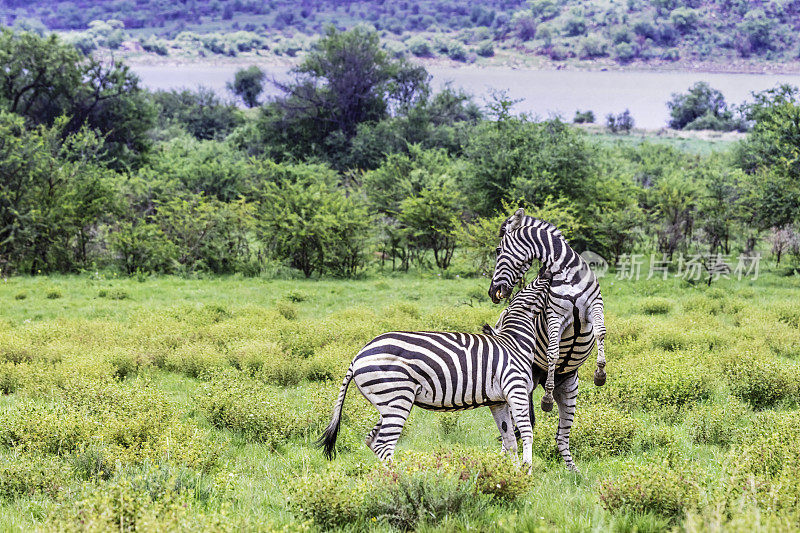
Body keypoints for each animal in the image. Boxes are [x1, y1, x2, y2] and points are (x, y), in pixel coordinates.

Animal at [316, 270, 552, 470]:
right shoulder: (515, 389)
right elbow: (526, 432)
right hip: (396, 397)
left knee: (372, 440)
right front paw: (527, 471)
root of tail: (357, 356)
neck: (515, 343)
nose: (545, 271)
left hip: (387, 402)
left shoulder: (498, 401)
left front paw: (513, 475)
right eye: (531, 288)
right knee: (384, 444)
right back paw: (399, 480)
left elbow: (509, 439)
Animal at [488, 209, 608, 416]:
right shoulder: (555, 315)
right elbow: (553, 353)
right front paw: (547, 398)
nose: (492, 292)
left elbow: (600, 333)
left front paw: (600, 373)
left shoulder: (594, 305)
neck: (566, 272)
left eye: (497, 250)